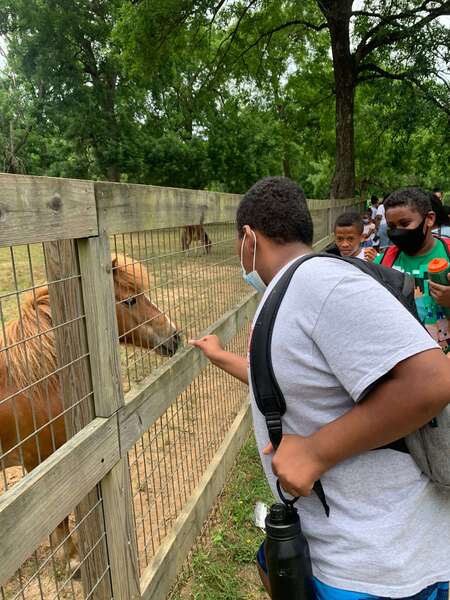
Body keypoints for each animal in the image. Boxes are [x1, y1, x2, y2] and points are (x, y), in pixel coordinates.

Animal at [0, 251, 179, 576]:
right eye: (131, 300)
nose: (175, 336)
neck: (33, 383)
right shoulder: (40, 462)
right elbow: (59, 519)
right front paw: (72, 559)